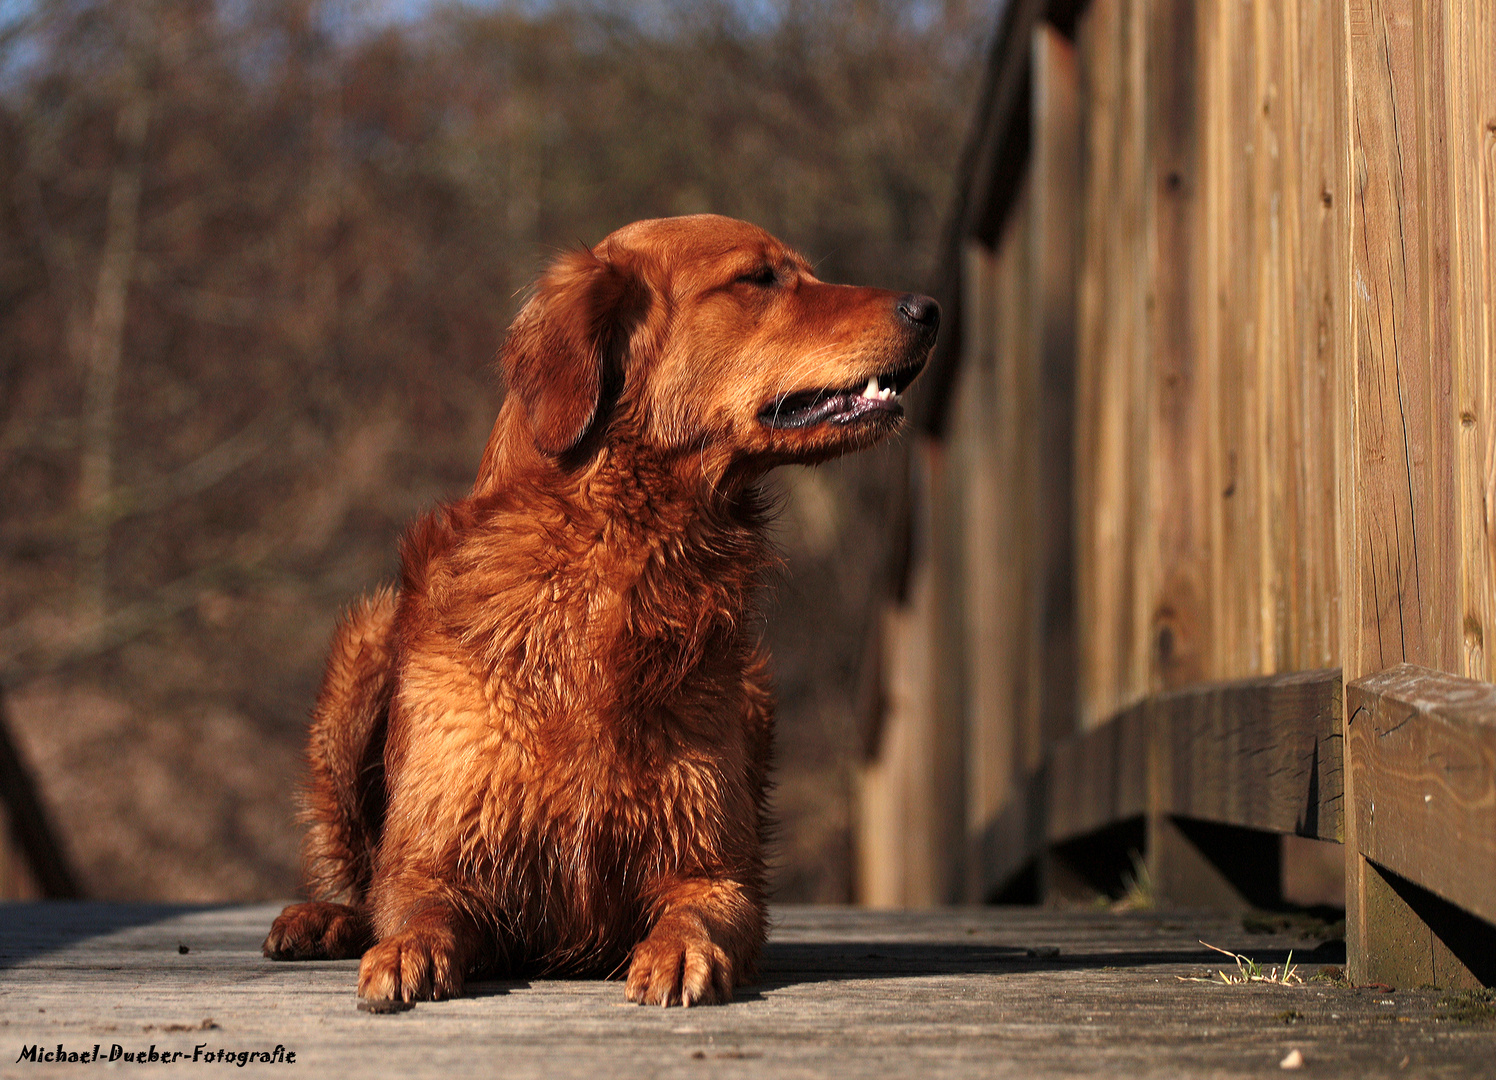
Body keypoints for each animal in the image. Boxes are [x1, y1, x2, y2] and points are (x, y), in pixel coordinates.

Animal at [263, 210, 927, 999]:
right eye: (760, 277)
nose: (930, 309)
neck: (614, 559)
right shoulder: (437, 849)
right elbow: (415, 904)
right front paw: (404, 951)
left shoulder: (712, 865)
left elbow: (699, 911)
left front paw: (679, 951)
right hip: (361, 655)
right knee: (359, 881)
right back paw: (323, 918)